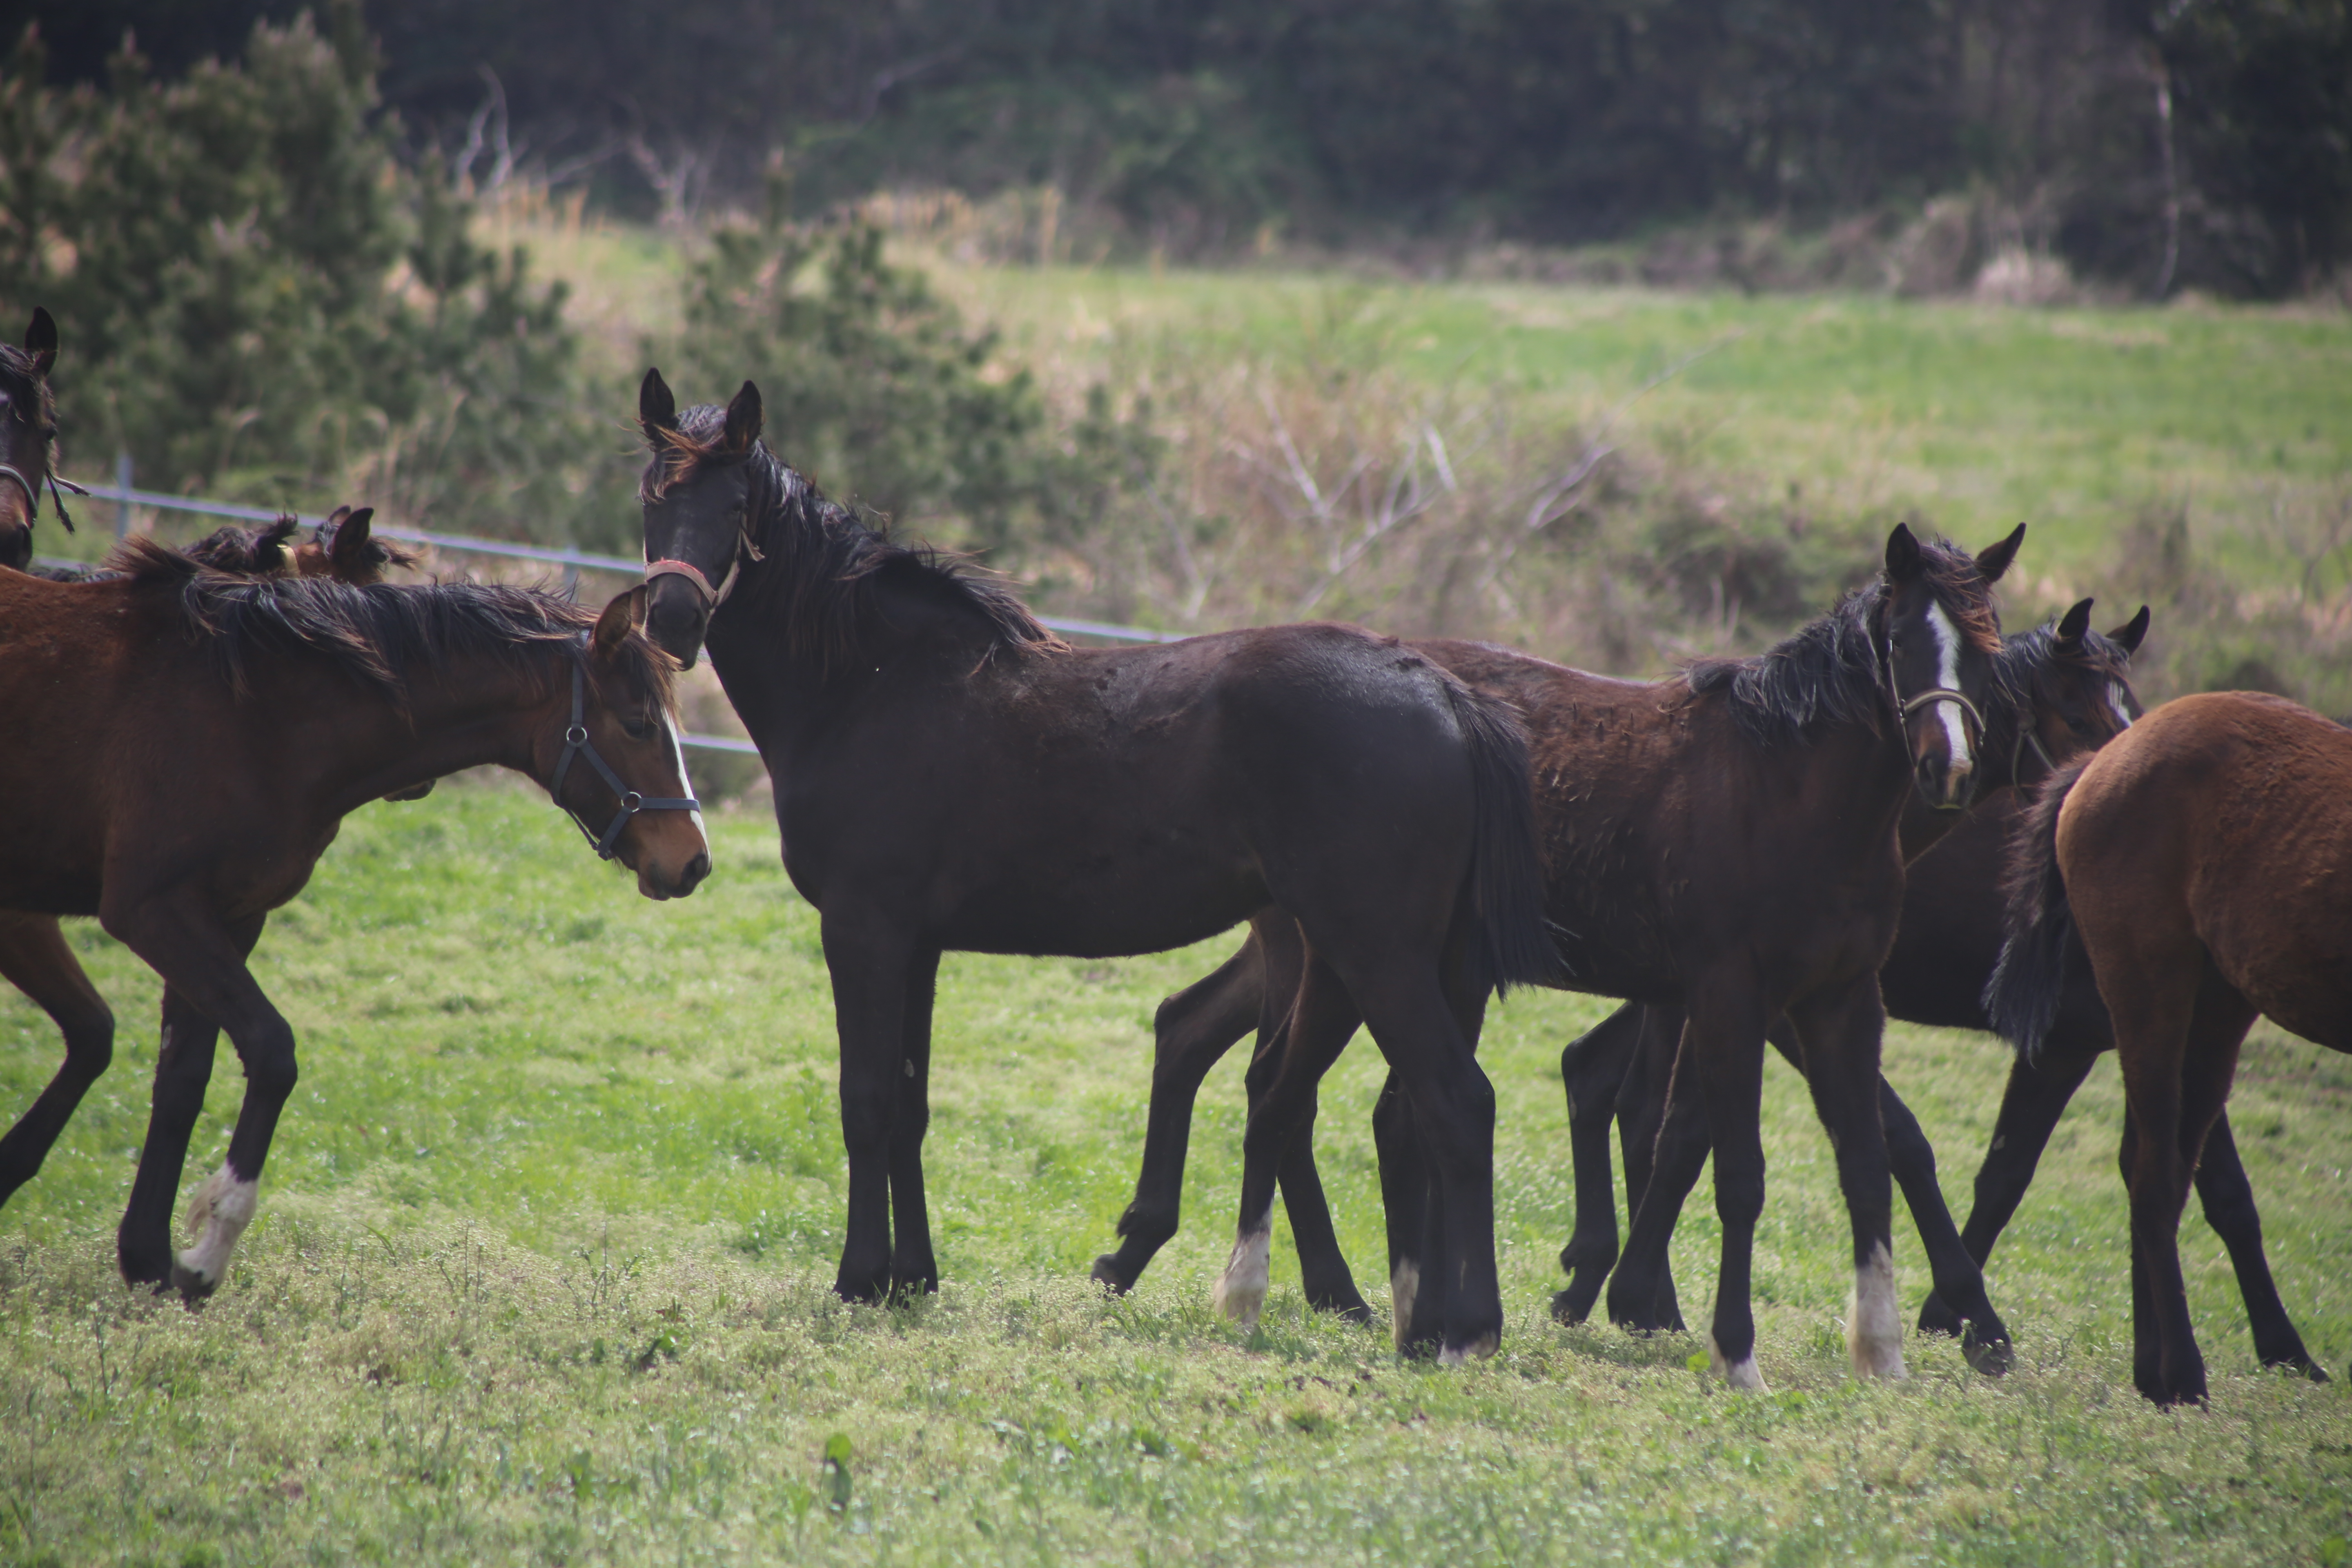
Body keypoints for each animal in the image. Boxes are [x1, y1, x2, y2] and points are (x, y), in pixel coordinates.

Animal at [0, 541, 706, 1297]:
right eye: (637, 724)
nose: (695, 861)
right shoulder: (152, 909)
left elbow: (183, 1077)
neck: (255, 712)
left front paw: (150, 1260)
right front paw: (208, 1248)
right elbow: (272, 1052)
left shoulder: (227, 917)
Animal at [630, 376, 1561, 1363]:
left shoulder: (863, 932)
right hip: (1372, 962)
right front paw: (912, 1278)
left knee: (1455, 1104)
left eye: (737, 506)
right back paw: (1419, 1321)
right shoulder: (916, 946)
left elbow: (867, 1101)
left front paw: (857, 1279)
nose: (673, 622)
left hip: (1373, 952)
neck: (873, 684)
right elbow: (912, 1106)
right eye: (653, 496)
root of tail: (1446, 694)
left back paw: (1468, 1329)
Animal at [1100, 522, 2022, 1382]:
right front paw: (1732, 1350)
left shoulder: (1840, 999)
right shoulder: (1735, 997)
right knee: (1305, 1094)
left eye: (1989, 652)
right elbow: (1737, 1171)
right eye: (1898, 641)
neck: (1787, 798)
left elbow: (1866, 1162)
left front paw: (1883, 1351)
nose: (1948, 768)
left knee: (1319, 1088)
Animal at [1985, 691, 2352, 1401]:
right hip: (2151, 989)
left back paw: (2159, 1368)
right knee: (2154, 1173)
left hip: (2216, 1007)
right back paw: (2180, 1372)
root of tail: (2106, 759)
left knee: (2166, 1169)